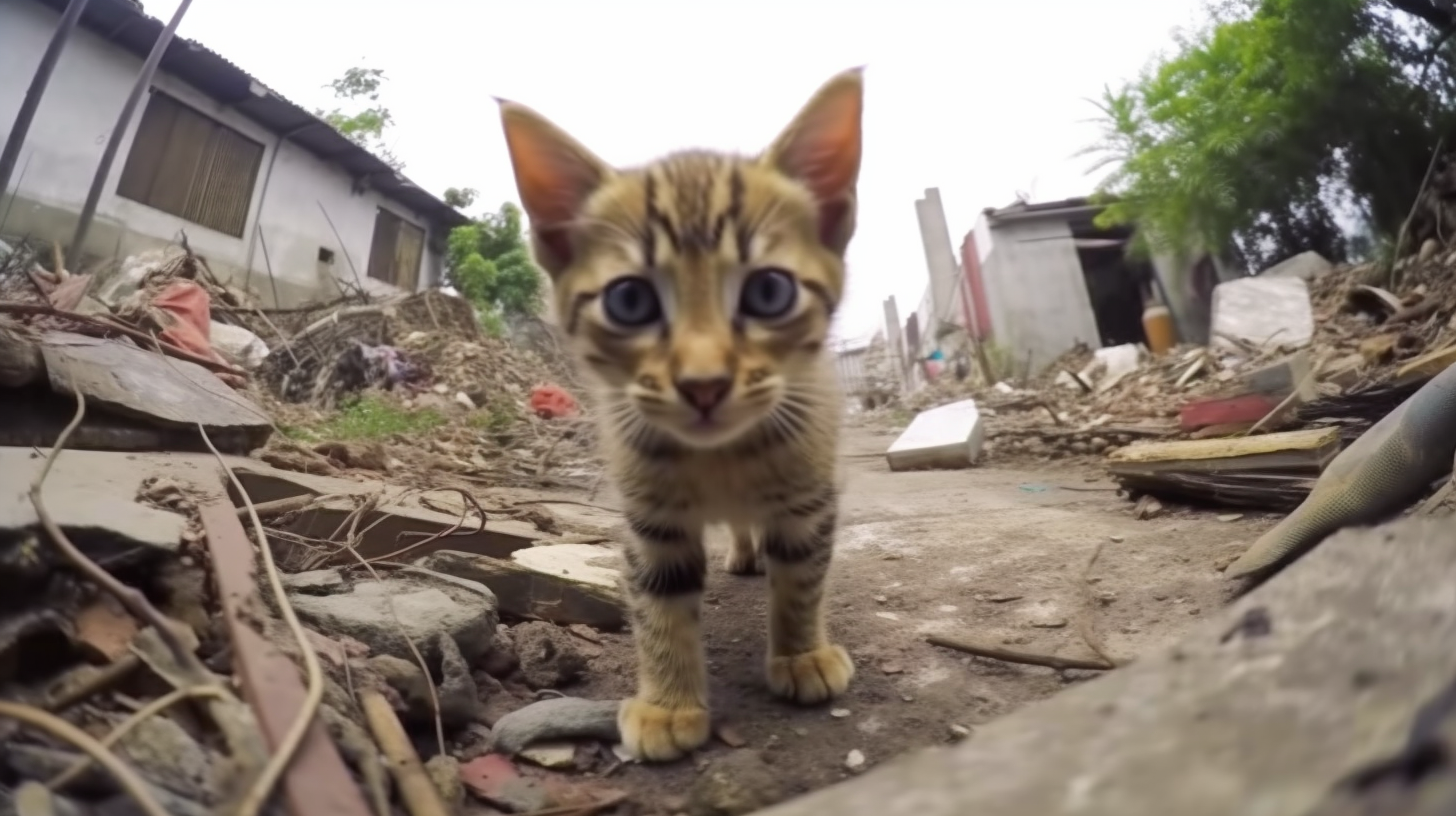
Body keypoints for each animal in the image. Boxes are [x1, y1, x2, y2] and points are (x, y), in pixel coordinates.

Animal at [497, 67, 861, 763]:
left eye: (769, 292)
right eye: (630, 301)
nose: (703, 384)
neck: (721, 459)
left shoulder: (808, 493)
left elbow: (802, 575)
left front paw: (801, 653)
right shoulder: (650, 514)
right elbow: (658, 600)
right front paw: (668, 704)